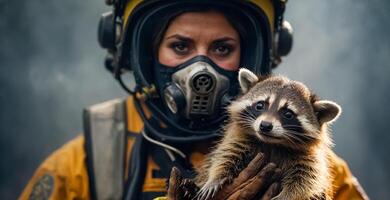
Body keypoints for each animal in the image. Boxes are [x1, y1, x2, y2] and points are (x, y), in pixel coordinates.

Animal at [195, 69, 342, 200]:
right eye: (260, 105)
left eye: (288, 114)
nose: (265, 126)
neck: (272, 143)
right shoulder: (239, 138)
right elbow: (226, 155)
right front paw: (215, 178)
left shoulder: (308, 156)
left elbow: (307, 178)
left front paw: (288, 196)